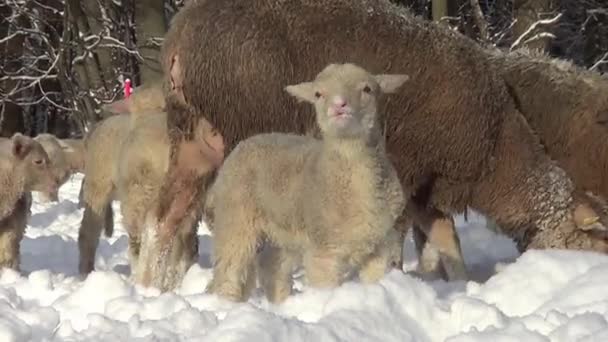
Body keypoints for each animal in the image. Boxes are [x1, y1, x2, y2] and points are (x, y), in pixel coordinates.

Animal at [204, 62, 408, 302]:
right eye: (318, 94)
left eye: (367, 89)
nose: (339, 105)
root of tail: (245, 143)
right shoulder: (324, 252)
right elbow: (325, 288)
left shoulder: (380, 248)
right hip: (235, 218)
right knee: (229, 268)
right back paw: (225, 301)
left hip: (283, 232)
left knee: (272, 267)